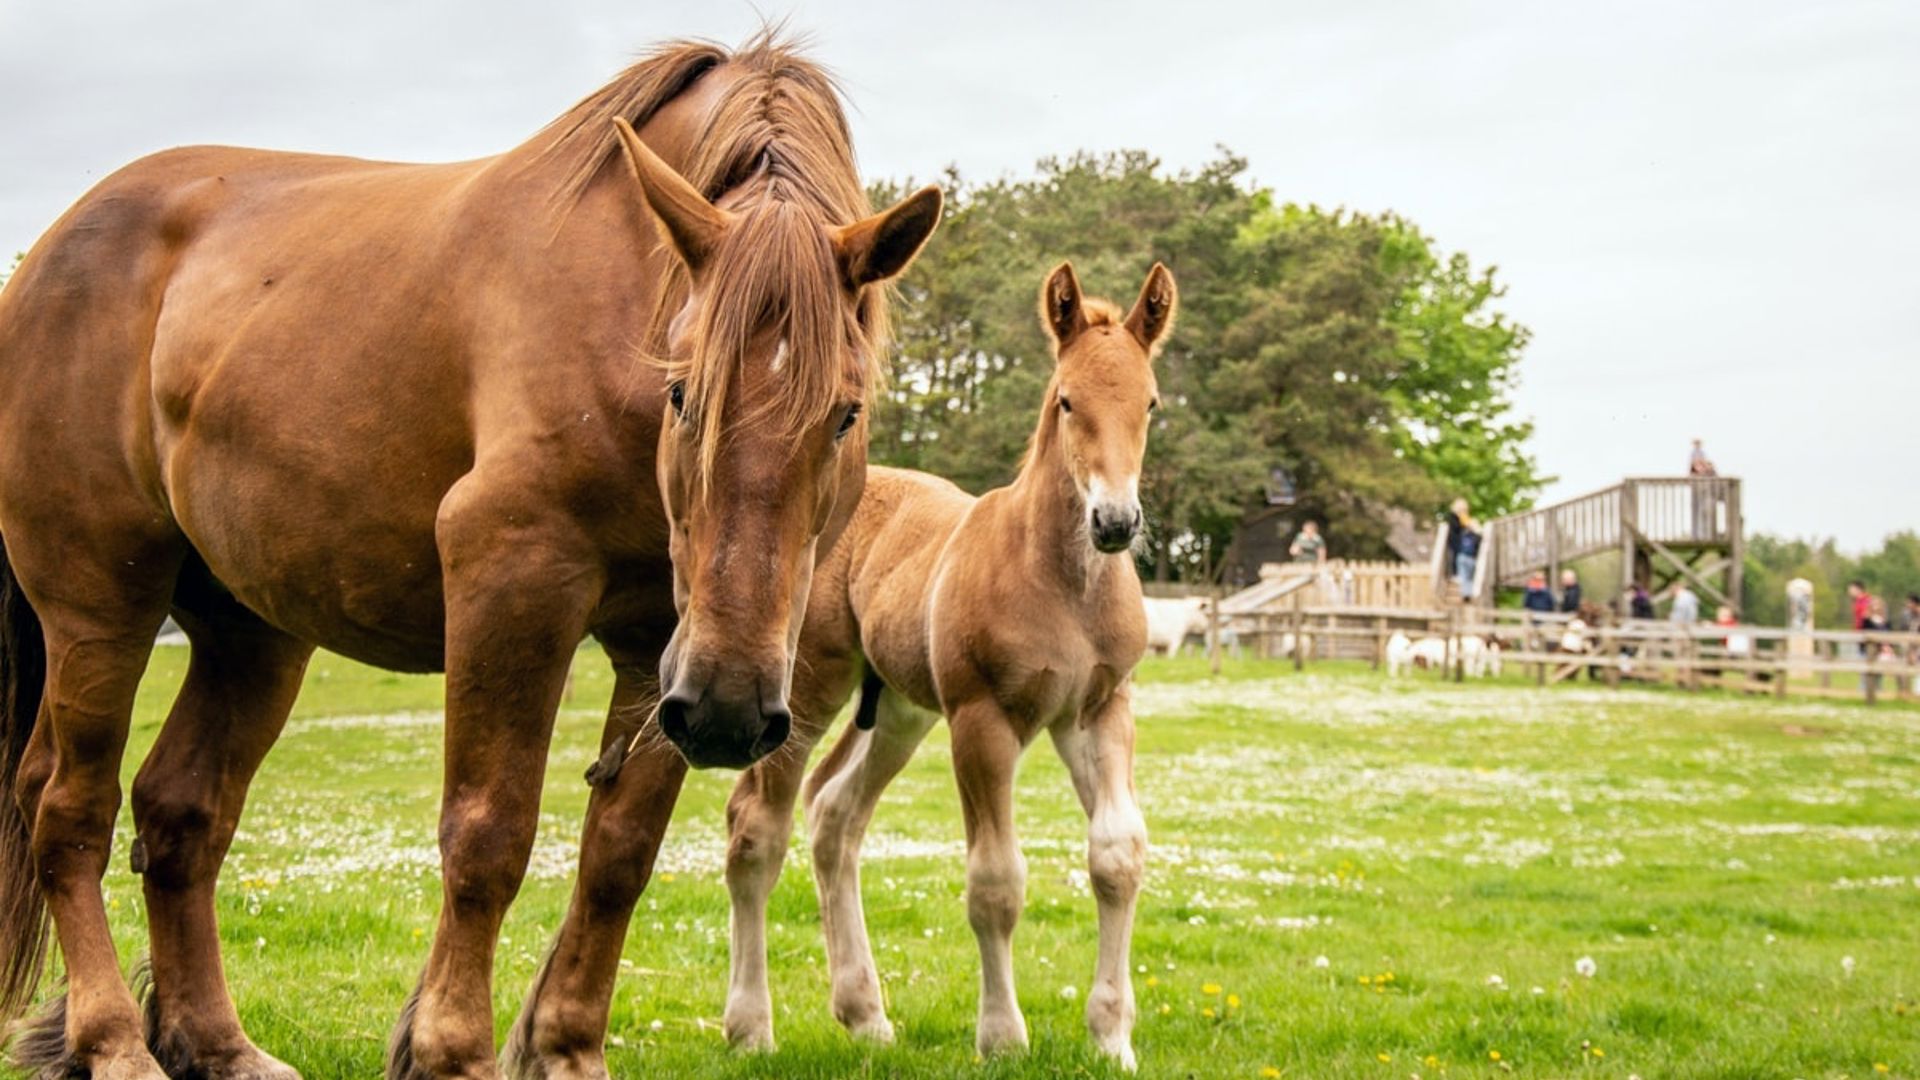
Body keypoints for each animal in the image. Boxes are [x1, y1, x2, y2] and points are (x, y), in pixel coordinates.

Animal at [0, 32, 939, 1080]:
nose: (734, 711)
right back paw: (116, 1041)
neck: (622, 289)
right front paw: (451, 1048)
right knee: (67, 808)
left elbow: (620, 854)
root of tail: (46, 254)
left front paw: (566, 1048)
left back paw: (218, 1045)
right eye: (681, 394)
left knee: (180, 812)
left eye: (845, 412)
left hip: (253, 634)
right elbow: (488, 835)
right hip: (101, 607)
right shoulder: (513, 581)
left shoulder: (664, 645)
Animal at [708, 262, 1175, 1069]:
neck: (1061, 582)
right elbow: (995, 880)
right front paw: (1003, 1038)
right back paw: (751, 1027)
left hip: (897, 710)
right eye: (1067, 400)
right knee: (756, 826)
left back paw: (865, 1014)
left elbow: (1117, 856)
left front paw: (1112, 1037)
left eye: (1149, 401)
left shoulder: (1098, 710)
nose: (1115, 523)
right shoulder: (981, 721)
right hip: (811, 689)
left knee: (834, 813)